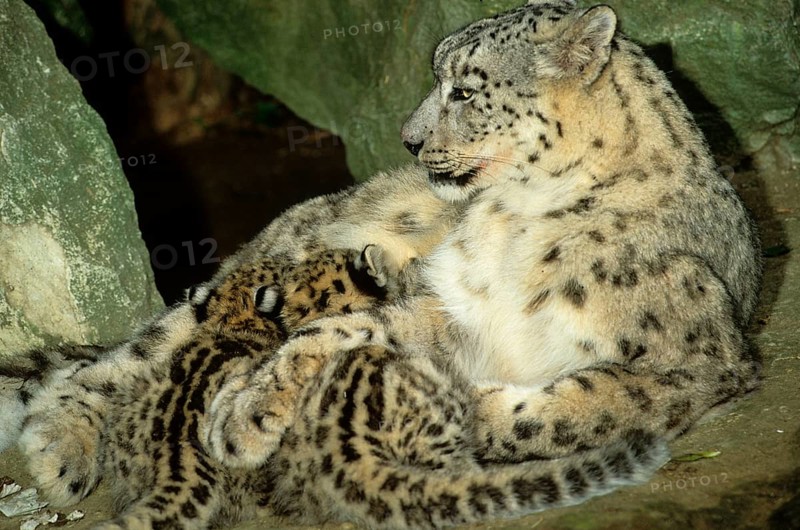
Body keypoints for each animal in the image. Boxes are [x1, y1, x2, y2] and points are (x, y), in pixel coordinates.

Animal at [207, 0, 761, 483]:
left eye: (465, 92)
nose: (408, 139)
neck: (518, 219)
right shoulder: (465, 311)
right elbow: (340, 329)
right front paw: (240, 414)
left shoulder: (694, 359)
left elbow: (585, 407)